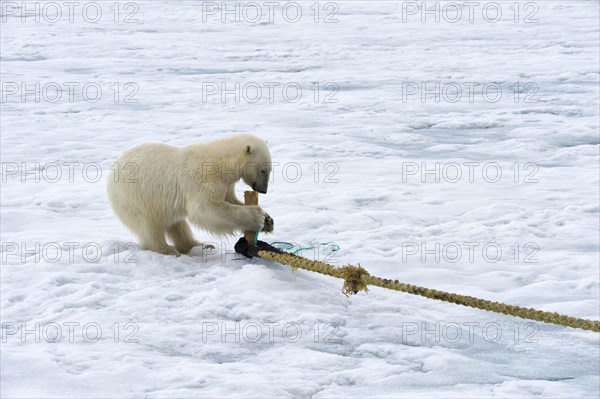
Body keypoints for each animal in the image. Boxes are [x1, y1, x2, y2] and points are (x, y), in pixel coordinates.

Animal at [108, 133, 274, 255]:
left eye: (270, 170)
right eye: (263, 170)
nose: (263, 190)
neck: (221, 162)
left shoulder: (226, 185)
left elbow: (230, 199)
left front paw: (268, 221)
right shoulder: (203, 177)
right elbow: (204, 208)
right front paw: (256, 216)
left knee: (176, 224)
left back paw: (201, 245)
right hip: (135, 197)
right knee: (149, 225)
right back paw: (167, 250)